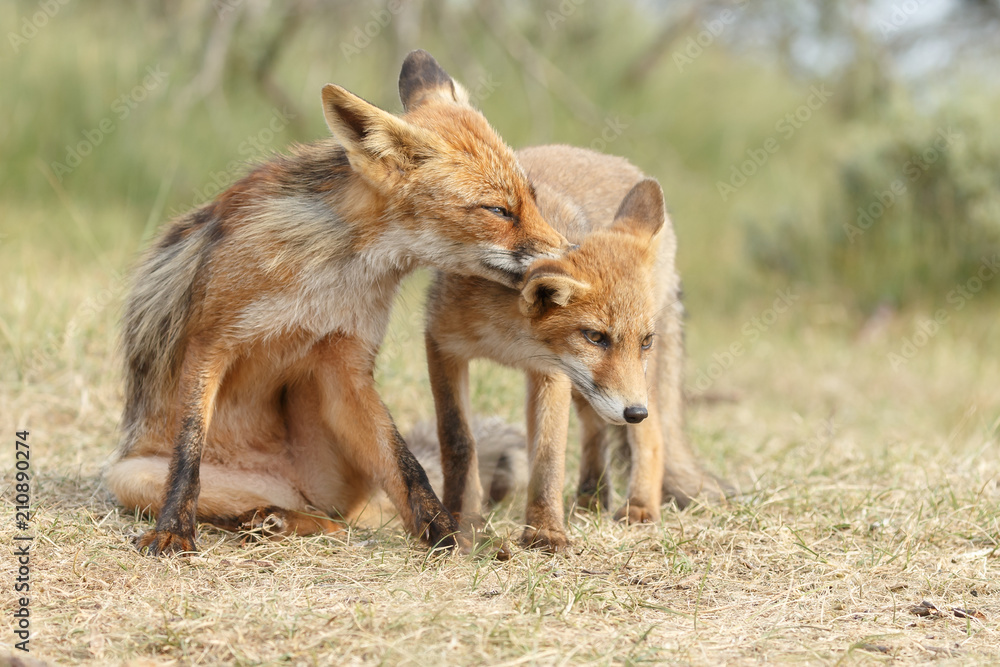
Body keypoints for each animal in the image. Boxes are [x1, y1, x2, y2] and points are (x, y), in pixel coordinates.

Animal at [104, 50, 569, 556]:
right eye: (499, 211)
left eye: (533, 199)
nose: (571, 255)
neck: (329, 277)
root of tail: (281, 483)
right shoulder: (210, 343)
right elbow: (188, 450)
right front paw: (173, 529)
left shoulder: (345, 366)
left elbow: (407, 464)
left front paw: (447, 534)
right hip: (130, 477)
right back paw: (267, 519)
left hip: (331, 458)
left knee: (338, 515)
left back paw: (287, 522)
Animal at [424, 144, 728, 552]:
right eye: (595, 337)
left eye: (645, 341)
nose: (634, 412)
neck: (509, 339)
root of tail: (601, 155)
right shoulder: (442, 343)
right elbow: (457, 439)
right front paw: (460, 522)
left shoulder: (551, 372)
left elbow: (549, 454)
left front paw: (544, 530)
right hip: (593, 390)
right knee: (596, 429)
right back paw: (591, 497)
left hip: (627, 386)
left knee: (652, 436)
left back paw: (639, 505)